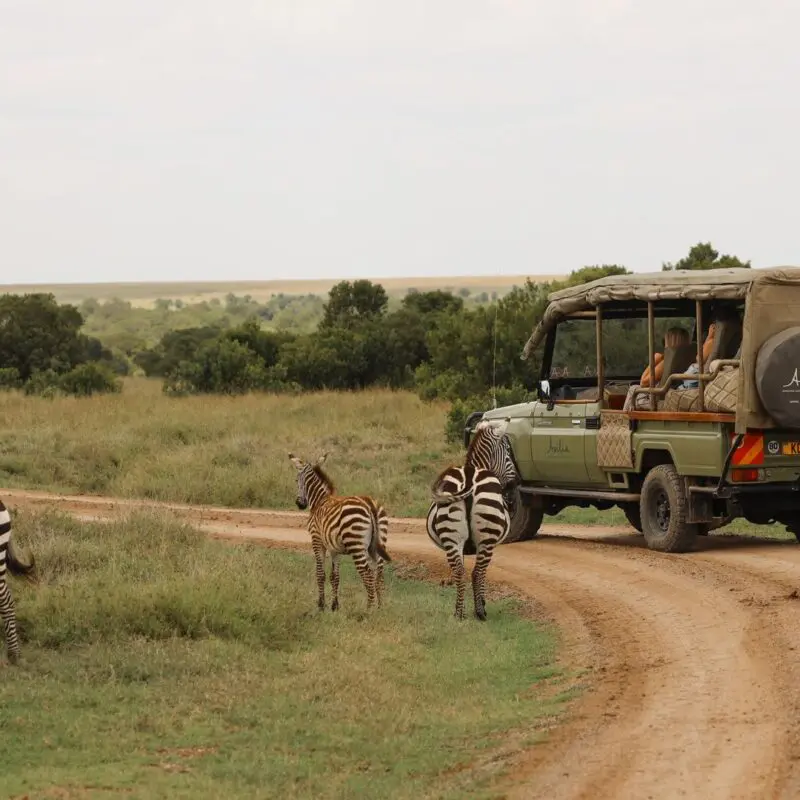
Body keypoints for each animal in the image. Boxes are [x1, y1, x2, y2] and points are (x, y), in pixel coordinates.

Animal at [288, 452, 391, 612]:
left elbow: (320, 574)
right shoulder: (334, 549)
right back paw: (379, 608)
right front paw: (334, 606)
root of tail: (369, 504)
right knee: (378, 574)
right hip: (377, 545)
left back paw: (368, 610)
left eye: (296, 480)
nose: (300, 504)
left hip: (357, 546)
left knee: (367, 574)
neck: (319, 500)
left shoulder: (317, 541)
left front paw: (321, 605)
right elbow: (335, 577)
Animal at [426, 420, 518, 621]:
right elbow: (481, 574)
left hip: (451, 537)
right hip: (487, 539)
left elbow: (458, 572)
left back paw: (458, 613)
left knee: (460, 572)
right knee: (478, 572)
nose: (515, 484)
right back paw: (480, 612)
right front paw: (482, 603)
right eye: (508, 451)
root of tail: (468, 476)